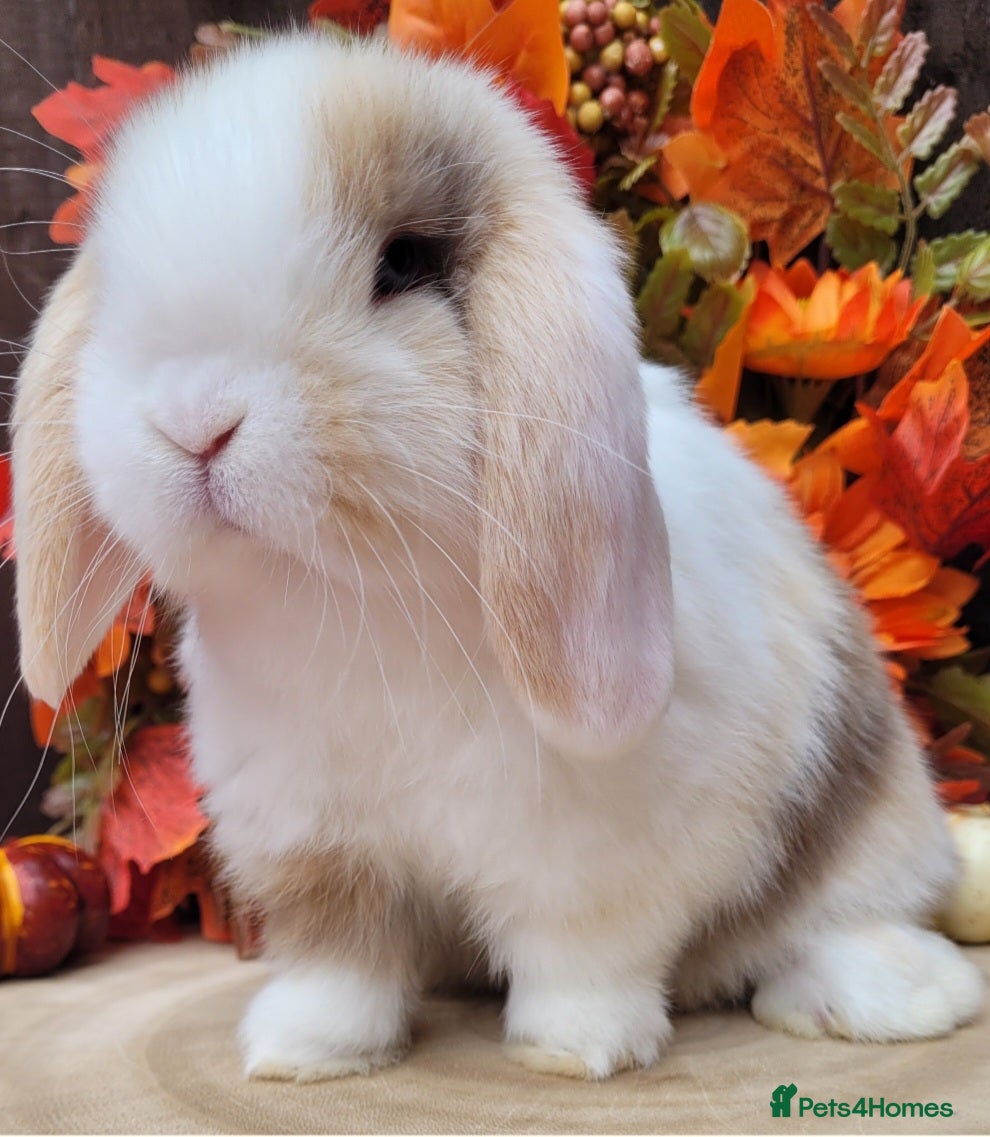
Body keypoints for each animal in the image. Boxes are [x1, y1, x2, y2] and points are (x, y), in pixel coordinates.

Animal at [11, 33, 984, 1082]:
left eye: (402, 264)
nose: (195, 419)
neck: (351, 601)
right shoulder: (312, 837)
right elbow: (339, 959)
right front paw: (299, 1053)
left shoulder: (591, 856)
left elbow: (581, 954)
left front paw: (576, 1051)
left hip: (868, 828)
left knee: (850, 917)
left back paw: (887, 997)